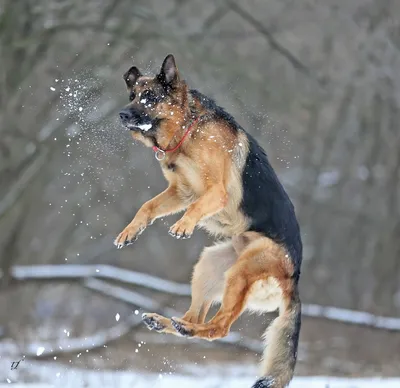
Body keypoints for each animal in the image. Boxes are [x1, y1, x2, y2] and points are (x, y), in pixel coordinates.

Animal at [115, 54, 304, 388]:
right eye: (133, 95)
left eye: (150, 97)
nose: (123, 114)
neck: (187, 130)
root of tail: (294, 278)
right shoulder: (180, 192)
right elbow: (147, 207)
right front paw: (130, 231)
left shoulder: (214, 193)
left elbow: (195, 207)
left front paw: (183, 225)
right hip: (210, 265)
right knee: (195, 317)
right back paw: (170, 323)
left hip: (241, 272)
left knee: (220, 328)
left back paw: (190, 328)